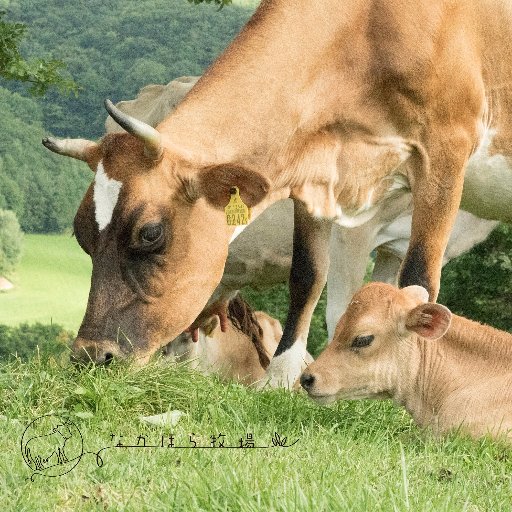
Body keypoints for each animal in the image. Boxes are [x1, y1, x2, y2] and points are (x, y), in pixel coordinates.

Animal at [43, 0, 512, 386]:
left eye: (150, 233)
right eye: (81, 235)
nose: (90, 356)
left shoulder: (444, 150)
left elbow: (411, 284)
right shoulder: (318, 169)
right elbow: (308, 275)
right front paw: (281, 377)